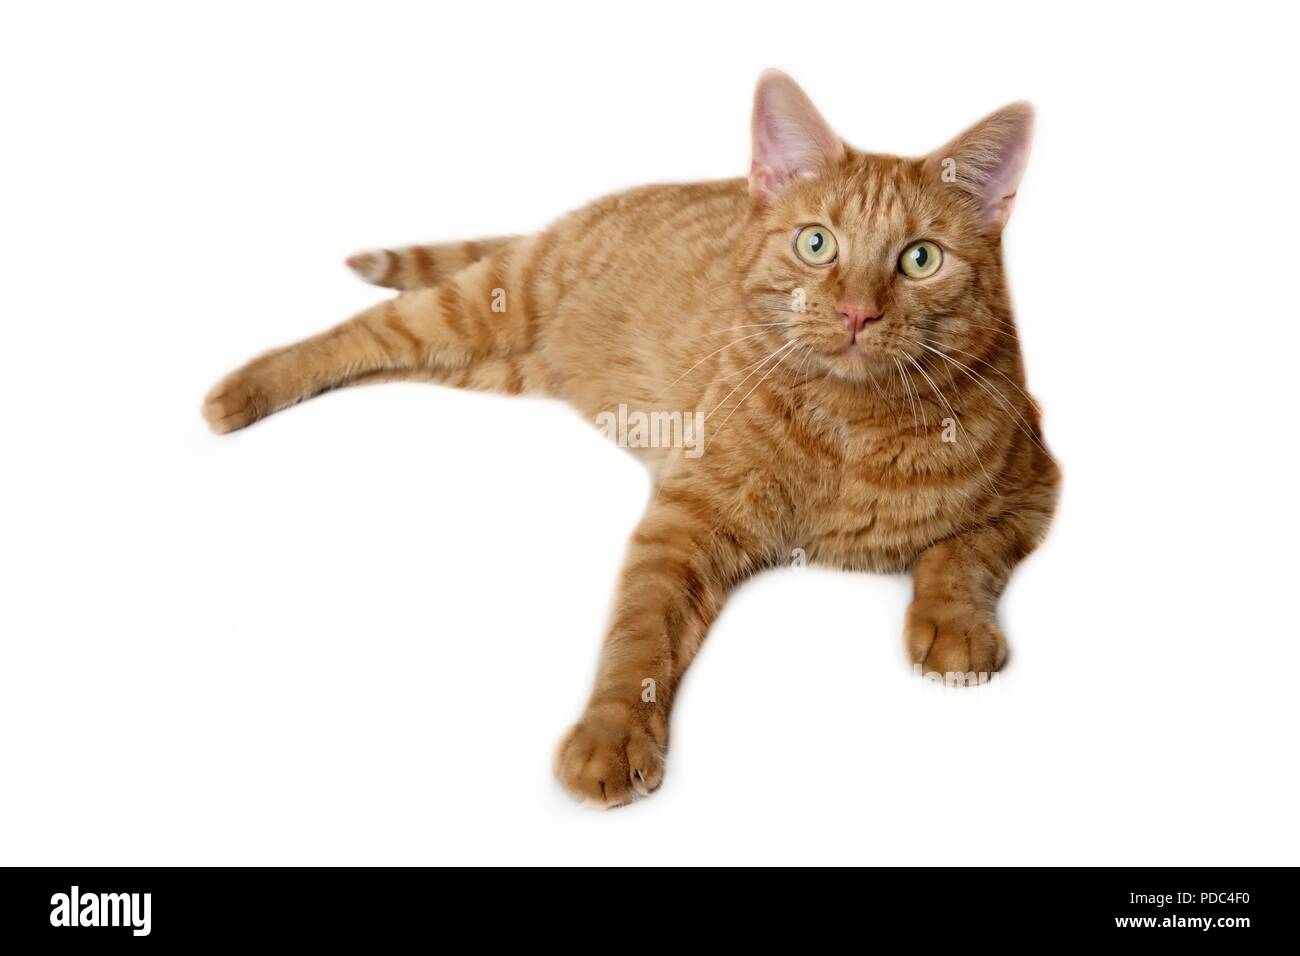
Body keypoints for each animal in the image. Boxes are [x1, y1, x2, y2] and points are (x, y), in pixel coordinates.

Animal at [202, 69, 1055, 806]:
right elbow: (640, 633)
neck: (849, 423)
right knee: (362, 330)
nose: (855, 312)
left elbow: (962, 554)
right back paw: (243, 389)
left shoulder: (1038, 488)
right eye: (817, 244)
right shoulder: (685, 517)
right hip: (481, 306)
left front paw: (953, 625)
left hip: (490, 365)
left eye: (920, 259)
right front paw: (611, 734)